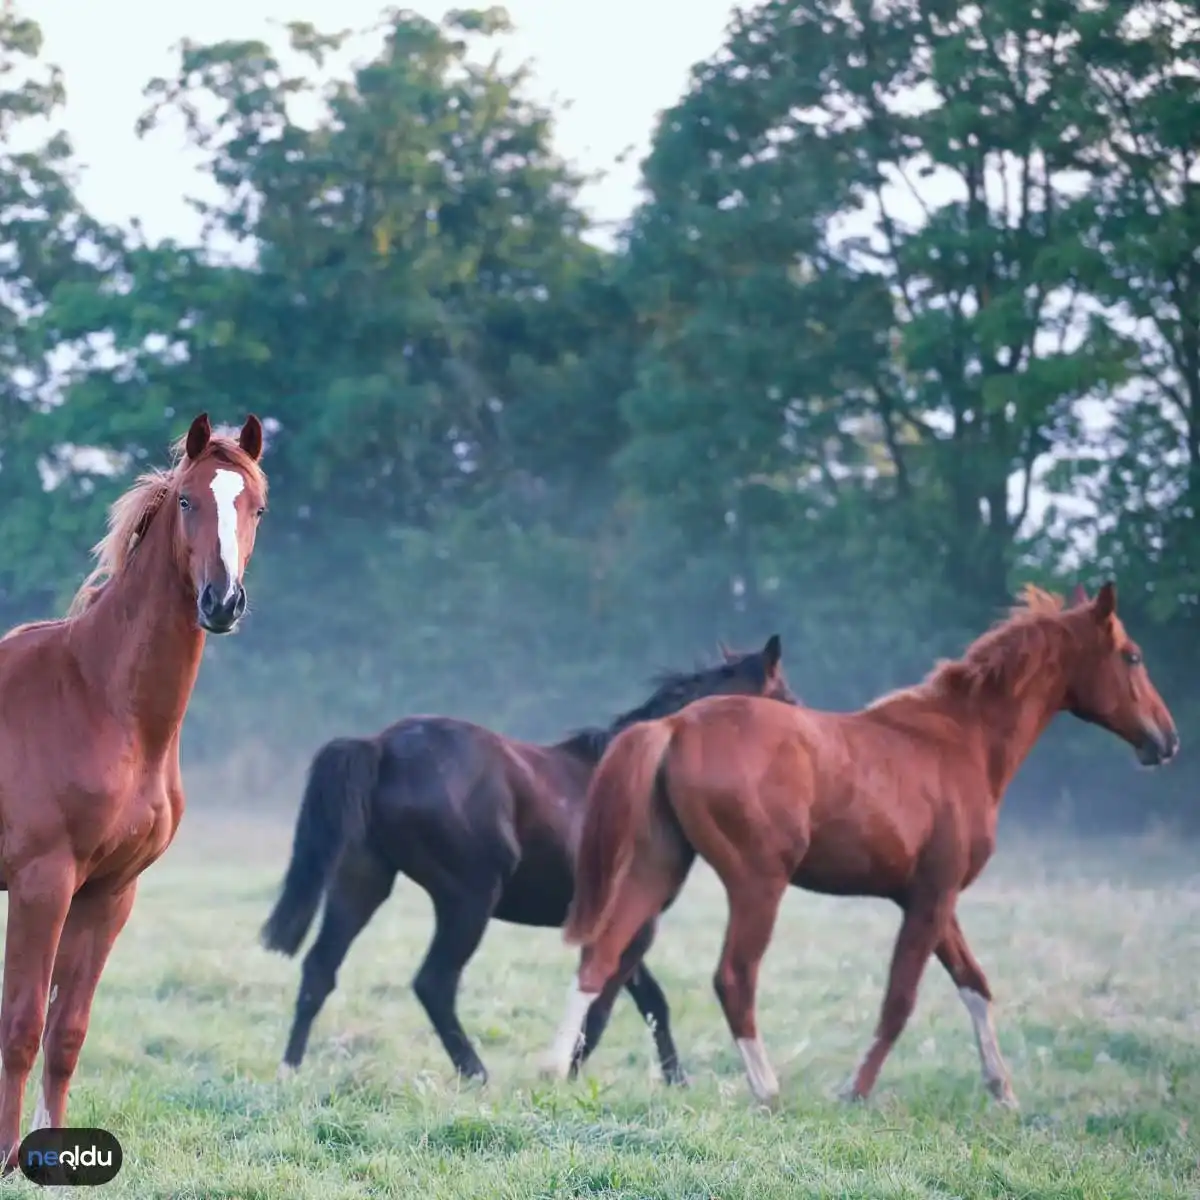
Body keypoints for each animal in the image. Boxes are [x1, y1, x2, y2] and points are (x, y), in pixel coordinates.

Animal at [0, 417, 265, 1166]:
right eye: (187, 501)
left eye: (256, 508)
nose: (221, 602)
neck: (100, 700)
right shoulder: (42, 884)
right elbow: (21, 1024)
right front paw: (5, 1155)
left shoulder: (110, 892)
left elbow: (66, 1031)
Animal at [258, 633, 792, 1084]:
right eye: (787, 700)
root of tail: (380, 747)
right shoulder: (638, 923)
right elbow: (605, 1006)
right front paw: (569, 1073)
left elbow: (649, 1001)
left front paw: (674, 1081)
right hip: (467, 898)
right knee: (434, 983)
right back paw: (476, 1073)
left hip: (363, 881)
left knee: (320, 969)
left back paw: (289, 1070)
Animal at [549, 580, 1180, 1104]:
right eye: (1132, 656)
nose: (1167, 739)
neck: (960, 739)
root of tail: (674, 726)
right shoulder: (931, 898)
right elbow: (900, 1001)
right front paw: (854, 1091)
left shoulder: (930, 898)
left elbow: (974, 984)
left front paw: (1003, 1091)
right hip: (758, 883)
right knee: (733, 976)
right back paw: (767, 1089)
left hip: (658, 866)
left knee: (601, 956)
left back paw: (552, 1068)